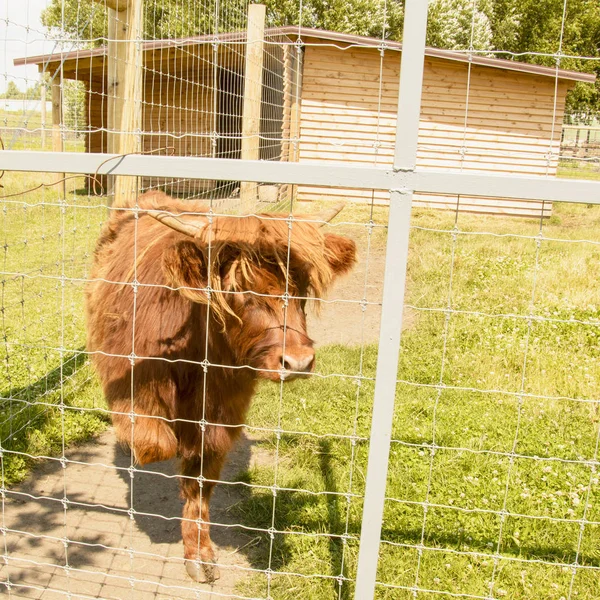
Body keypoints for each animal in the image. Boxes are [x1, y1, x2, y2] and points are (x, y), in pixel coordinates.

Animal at [84, 191, 356, 580]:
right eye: (239, 290)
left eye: (301, 288)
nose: (299, 361)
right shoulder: (129, 379)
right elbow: (156, 444)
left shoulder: (222, 411)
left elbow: (201, 479)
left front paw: (199, 554)